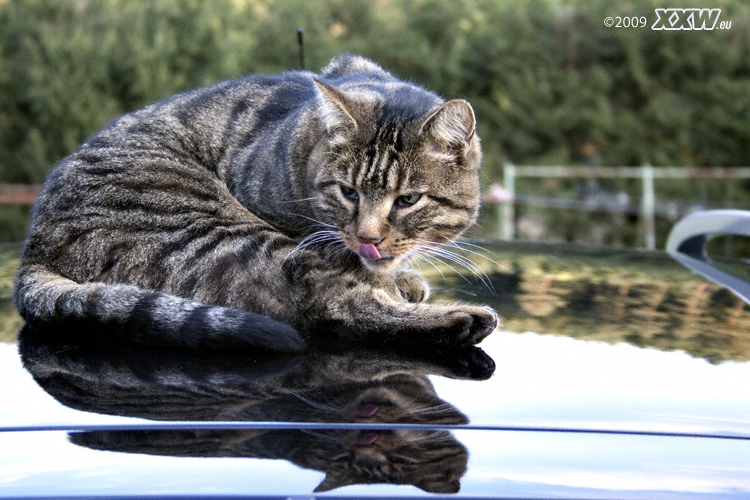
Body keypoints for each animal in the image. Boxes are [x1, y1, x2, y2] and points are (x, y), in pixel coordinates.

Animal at [13, 53, 500, 352]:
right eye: (349, 192)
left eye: (408, 200)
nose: (368, 237)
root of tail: (34, 246)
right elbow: (338, 269)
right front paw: (386, 278)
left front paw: (397, 275)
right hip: (221, 229)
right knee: (328, 307)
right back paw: (458, 318)